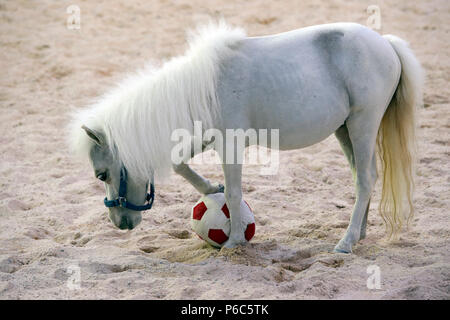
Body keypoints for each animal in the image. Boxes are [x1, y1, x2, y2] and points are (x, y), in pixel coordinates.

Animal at [70, 21, 422, 254]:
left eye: (102, 174)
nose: (120, 223)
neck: (199, 90)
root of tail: (386, 42)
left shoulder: (231, 145)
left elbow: (236, 192)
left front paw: (235, 241)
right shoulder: (205, 136)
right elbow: (180, 164)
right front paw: (211, 188)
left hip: (363, 124)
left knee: (365, 180)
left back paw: (346, 242)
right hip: (345, 130)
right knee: (365, 176)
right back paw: (359, 234)